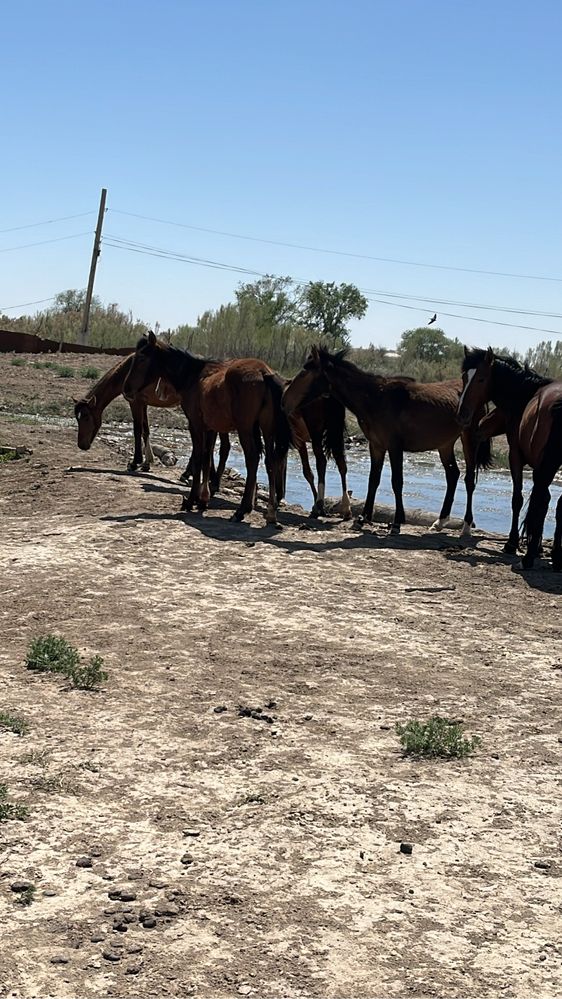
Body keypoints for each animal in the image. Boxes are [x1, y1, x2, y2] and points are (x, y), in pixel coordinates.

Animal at [121, 334, 288, 528]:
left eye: (141, 358)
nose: (126, 388)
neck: (193, 377)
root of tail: (264, 372)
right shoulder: (210, 428)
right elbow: (208, 458)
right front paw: (203, 499)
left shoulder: (195, 424)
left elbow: (199, 458)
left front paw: (191, 499)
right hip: (266, 429)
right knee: (270, 462)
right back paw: (271, 513)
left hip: (245, 428)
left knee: (252, 459)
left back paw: (242, 510)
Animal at [280, 344, 490, 536]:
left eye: (305, 372)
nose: (284, 400)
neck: (376, 398)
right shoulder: (376, 446)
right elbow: (373, 480)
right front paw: (362, 519)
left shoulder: (394, 447)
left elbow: (397, 482)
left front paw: (396, 522)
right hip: (444, 444)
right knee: (452, 475)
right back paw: (440, 522)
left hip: (468, 440)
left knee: (469, 480)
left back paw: (466, 527)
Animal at [456, 348, 560, 572]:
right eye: (464, 377)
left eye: (481, 379)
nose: (462, 415)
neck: (527, 395)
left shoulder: (516, 456)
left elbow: (519, 499)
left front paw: (513, 543)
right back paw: (555, 557)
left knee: (541, 501)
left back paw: (528, 558)